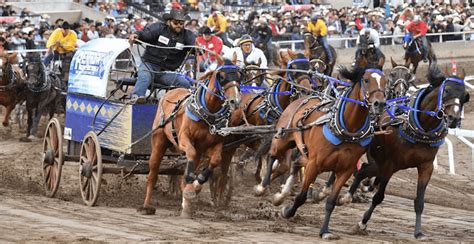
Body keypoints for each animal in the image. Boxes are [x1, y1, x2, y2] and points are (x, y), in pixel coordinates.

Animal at [135, 53, 243, 217]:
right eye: (222, 76)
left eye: (238, 75)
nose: (235, 101)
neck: (207, 112)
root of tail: (170, 92)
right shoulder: (184, 139)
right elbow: (190, 155)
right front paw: (191, 182)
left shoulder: (216, 144)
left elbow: (215, 161)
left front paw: (196, 185)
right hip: (158, 142)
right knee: (152, 174)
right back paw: (146, 206)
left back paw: (186, 203)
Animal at [260, 63, 388, 239]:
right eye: (367, 80)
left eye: (386, 82)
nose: (379, 104)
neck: (347, 130)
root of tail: (304, 98)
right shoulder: (314, 164)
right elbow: (301, 197)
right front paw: (287, 212)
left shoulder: (345, 170)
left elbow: (331, 202)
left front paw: (325, 231)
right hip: (283, 138)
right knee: (273, 155)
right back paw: (263, 186)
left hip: (305, 153)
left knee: (294, 163)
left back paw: (282, 193)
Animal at [348, 61, 470, 240]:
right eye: (446, 90)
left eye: (465, 95)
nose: (453, 119)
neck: (421, 129)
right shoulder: (390, 165)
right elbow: (378, 197)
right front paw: (362, 223)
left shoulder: (426, 167)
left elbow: (419, 201)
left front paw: (418, 232)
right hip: (377, 159)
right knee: (361, 170)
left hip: (378, 162)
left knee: (363, 170)